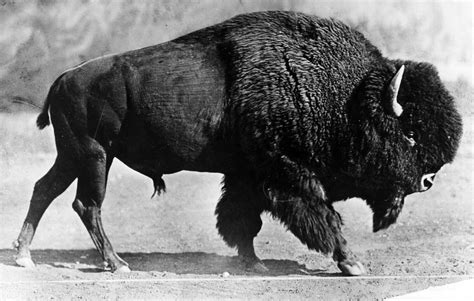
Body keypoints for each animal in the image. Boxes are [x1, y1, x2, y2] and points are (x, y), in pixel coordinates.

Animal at [12, 11, 462, 274]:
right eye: (409, 134)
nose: (428, 181)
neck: (347, 98)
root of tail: (64, 77)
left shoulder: (248, 175)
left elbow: (243, 218)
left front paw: (252, 263)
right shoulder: (289, 172)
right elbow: (322, 215)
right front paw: (352, 263)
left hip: (75, 157)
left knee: (44, 190)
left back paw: (23, 255)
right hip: (94, 156)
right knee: (86, 205)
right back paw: (116, 263)